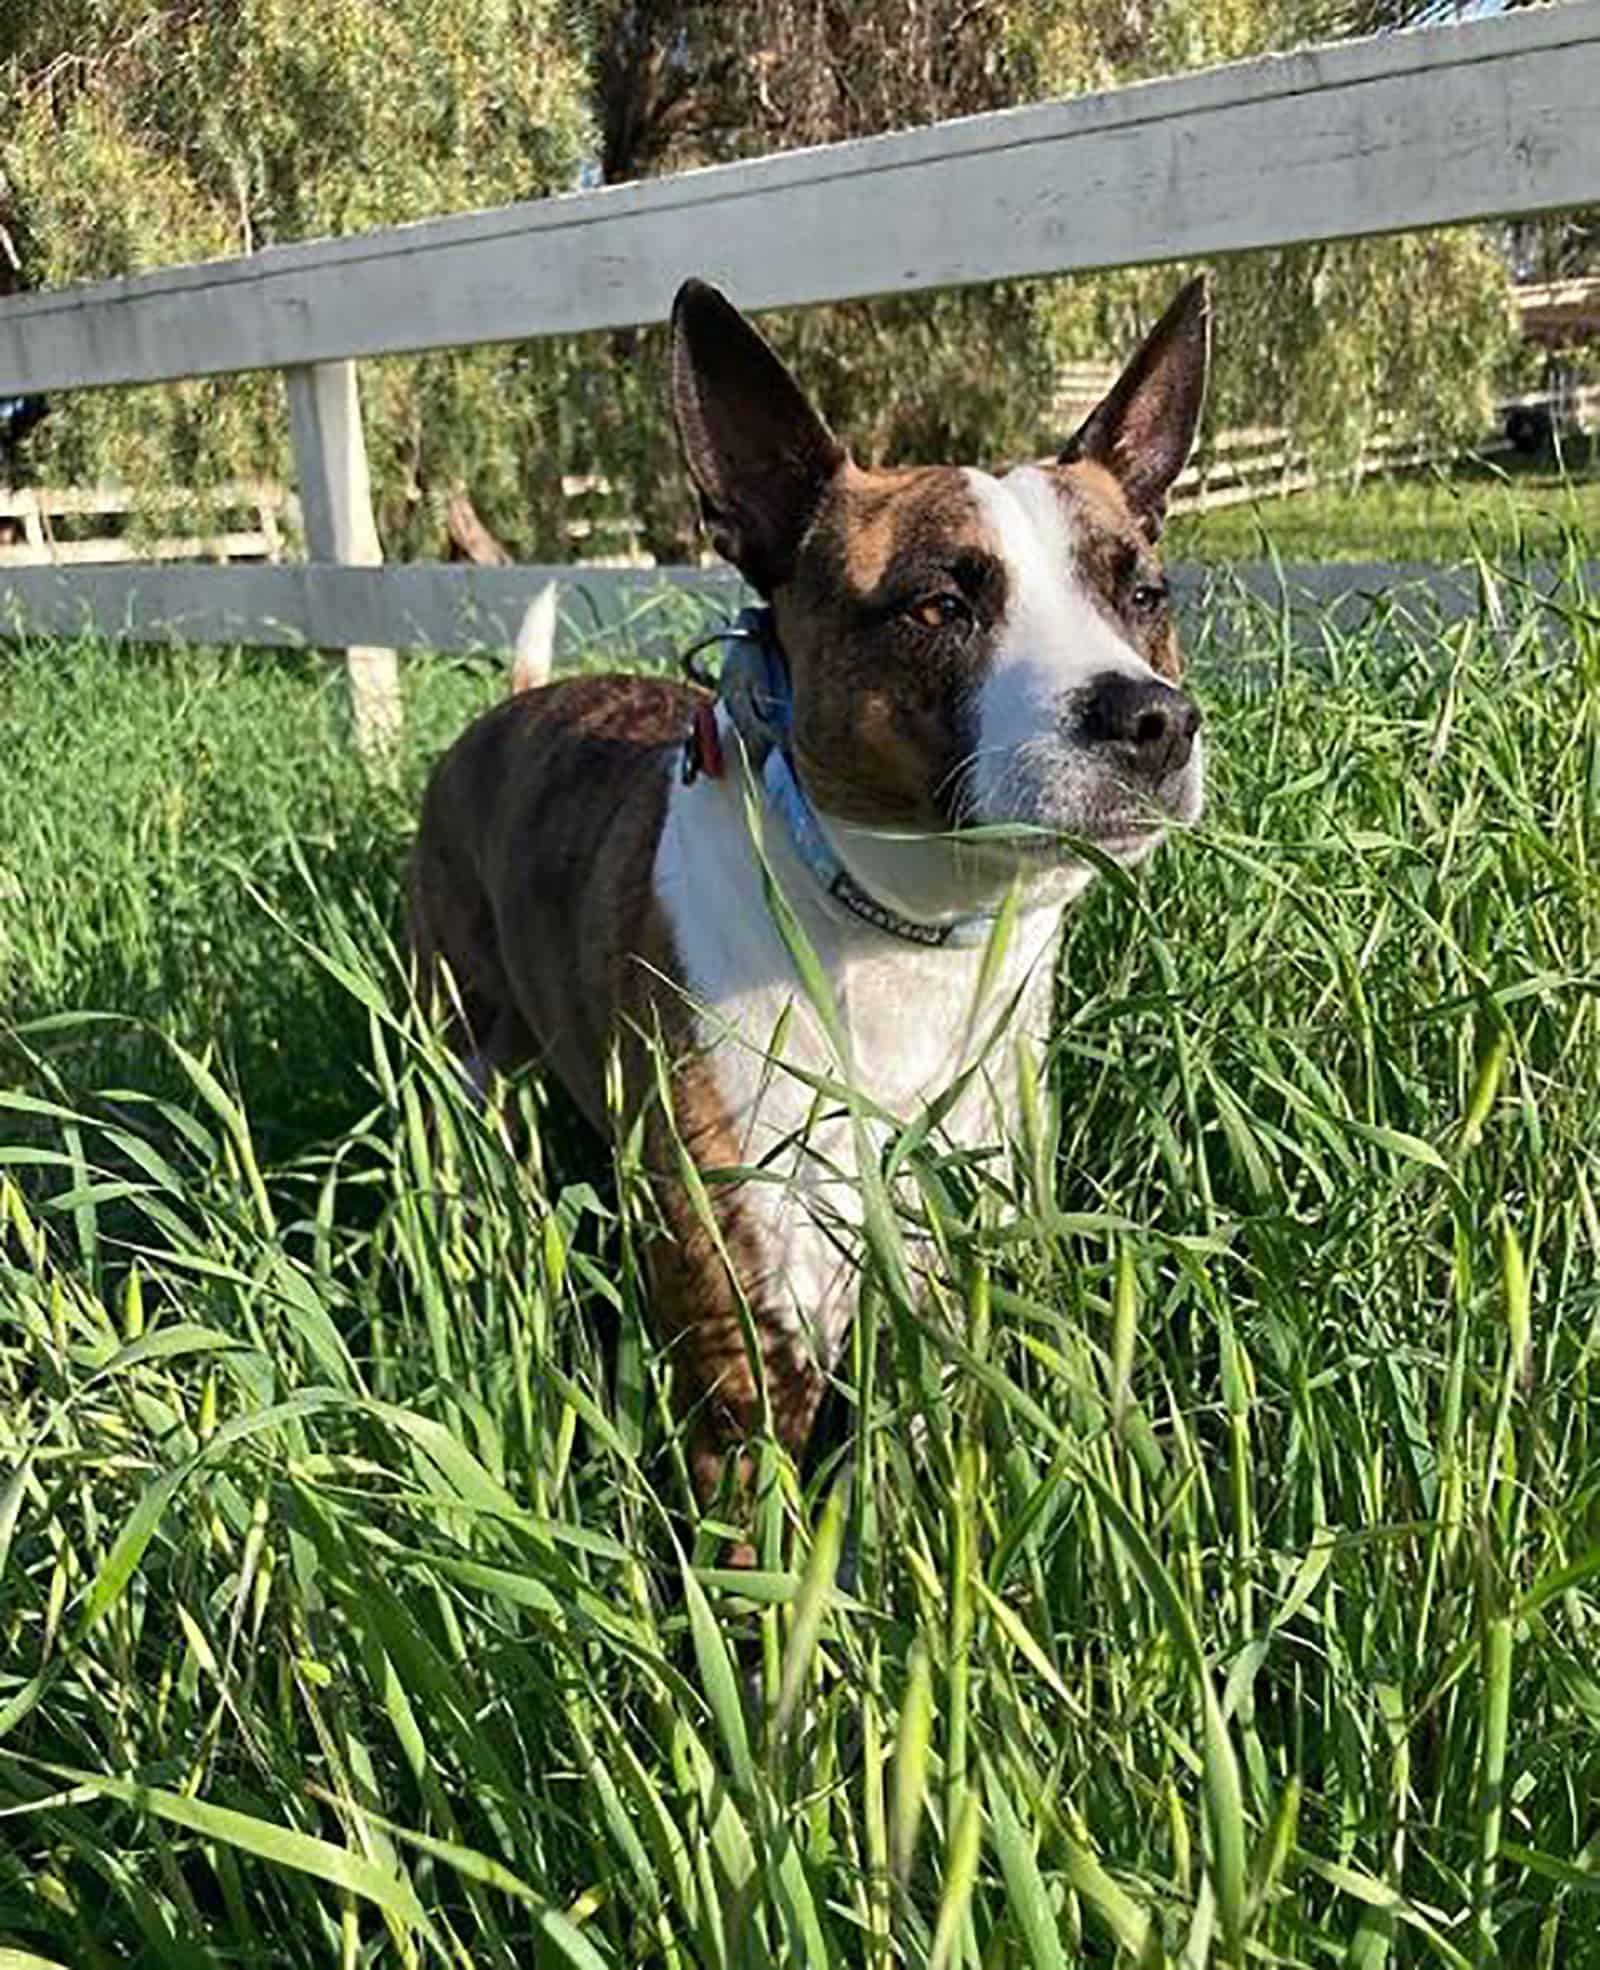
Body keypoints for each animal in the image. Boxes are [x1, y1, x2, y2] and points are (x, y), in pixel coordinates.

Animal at [405, 281, 1205, 1520]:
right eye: (936, 605)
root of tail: (513, 707)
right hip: (460, 1048)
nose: (1152, 717)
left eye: (1143, 591)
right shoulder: (741, 1351)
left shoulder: (944, 1277)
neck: (894, 941)